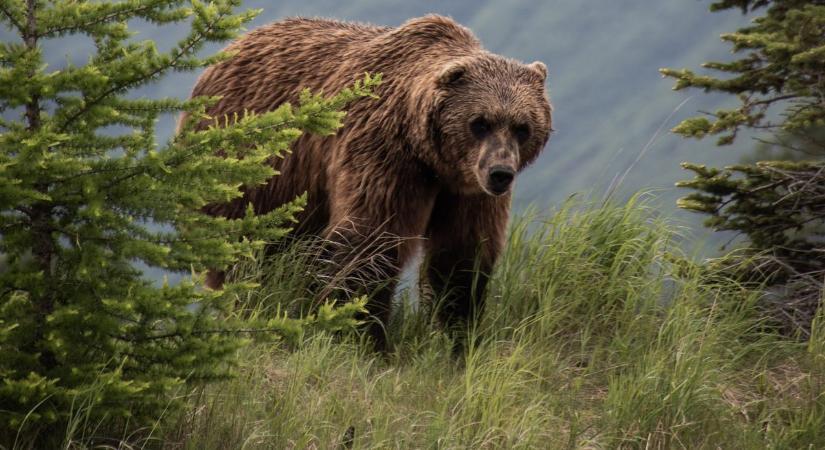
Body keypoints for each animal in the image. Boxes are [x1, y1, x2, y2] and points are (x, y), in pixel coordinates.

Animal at [181, 14, 552, 350]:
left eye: (522, 126)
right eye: (480, 122)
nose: (500, 173)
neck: (430, 157)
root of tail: (228, 50)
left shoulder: (466, 190)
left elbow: (461, 254)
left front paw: (455, 336)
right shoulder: (384, 155)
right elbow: (370, 241)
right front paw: (362, 336)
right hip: (250, 170)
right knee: (248, 252)